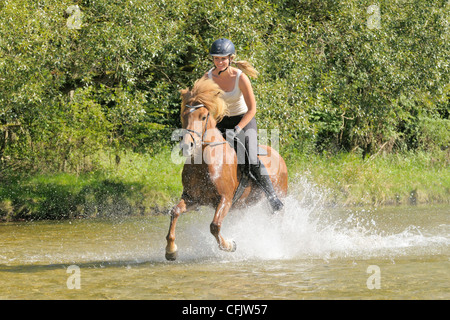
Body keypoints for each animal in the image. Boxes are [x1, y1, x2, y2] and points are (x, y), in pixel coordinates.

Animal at [165, 77, 288, 260]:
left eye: (203, 117)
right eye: (183, 115)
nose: (188, 145)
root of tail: (279, 157)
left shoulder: (225, 199)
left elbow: (214, 226)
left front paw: (230, 245)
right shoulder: (192, 198)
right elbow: (175, 211)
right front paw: (171, 250)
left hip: (276, 197)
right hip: (246, 204)